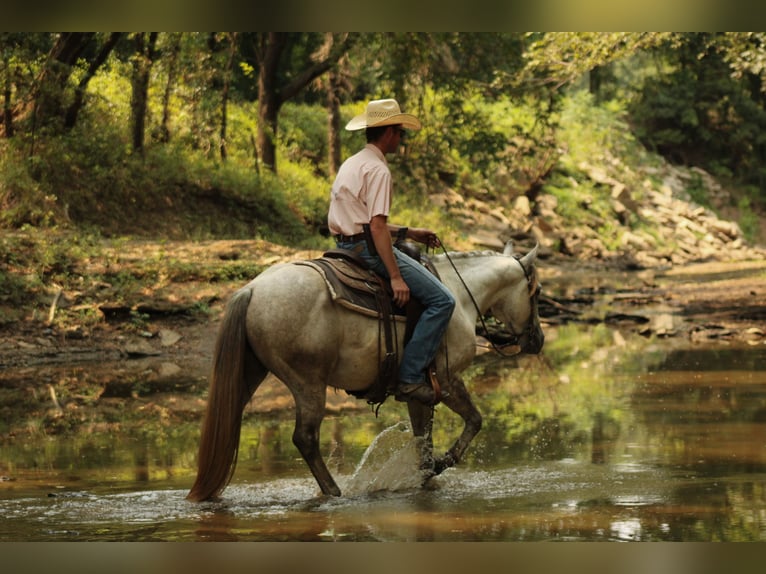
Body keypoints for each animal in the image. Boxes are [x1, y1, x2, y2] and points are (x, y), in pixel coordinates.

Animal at [186, 241, 544, 501]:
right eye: (537, 292)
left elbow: (422, 440)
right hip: (307, 381)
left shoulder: (419, 392)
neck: (459, 293)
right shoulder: (447, 380)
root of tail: (252, 290)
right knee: (305, 437)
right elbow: (474, 421)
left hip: (251, 374)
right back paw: (335, 492)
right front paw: (442, 464)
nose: (538, 339)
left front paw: (426, 477)